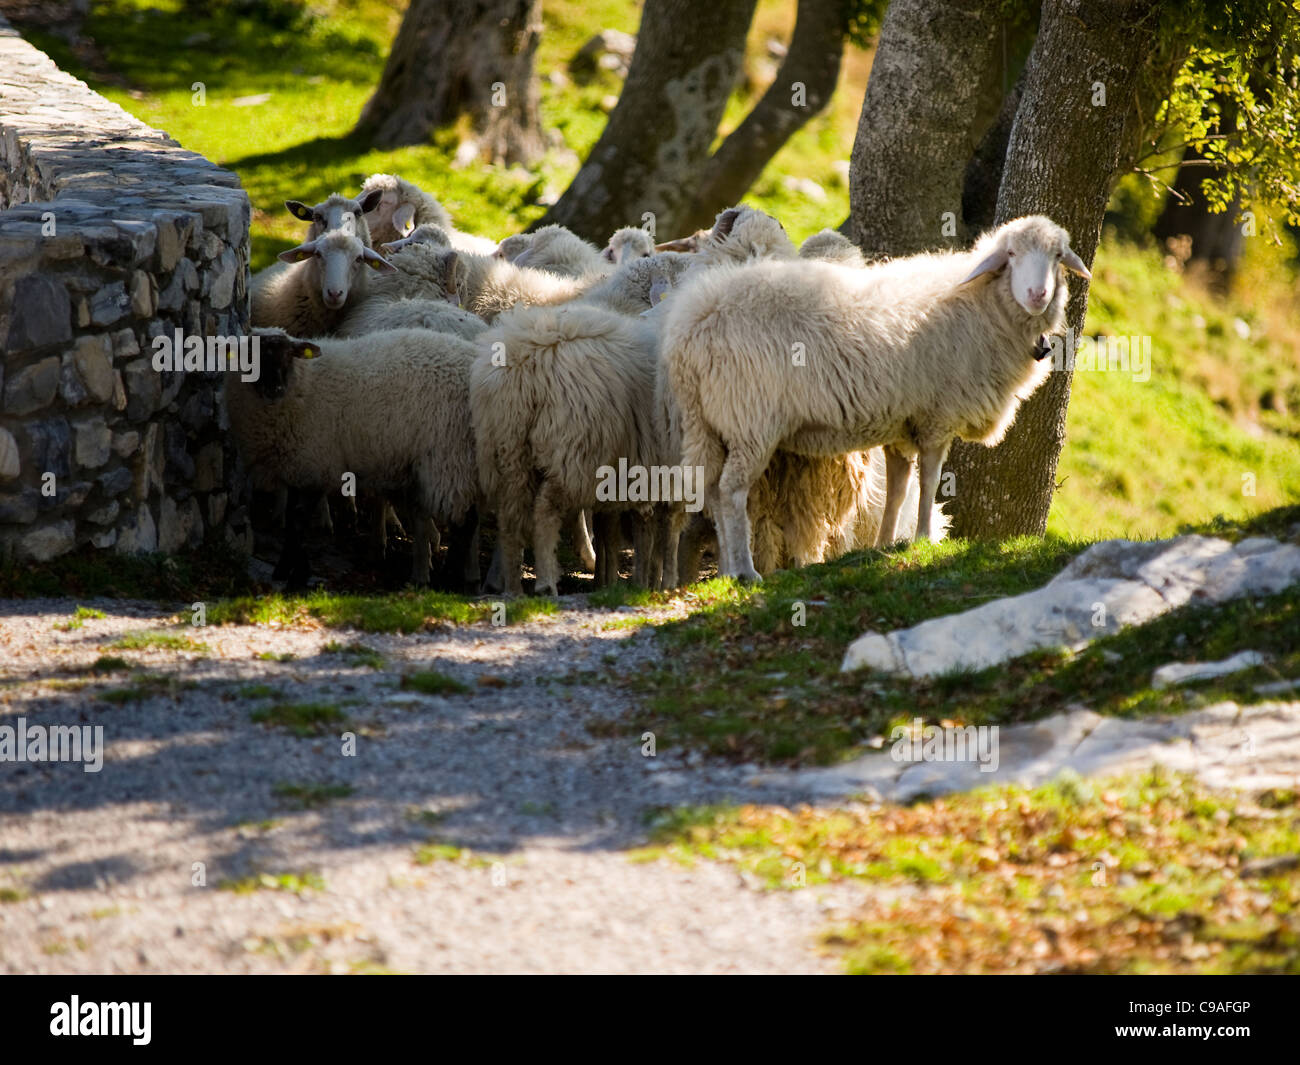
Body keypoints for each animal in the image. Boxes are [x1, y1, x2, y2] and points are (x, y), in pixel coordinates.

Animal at [228, 326, 483, 587]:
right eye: (250, 356)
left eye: (289, 354)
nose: (274, 389)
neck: (304, 383)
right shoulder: (296, 465)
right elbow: (290, 518)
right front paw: (284, 568)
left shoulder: (317, 463)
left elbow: (298, 519)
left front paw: (297, 575)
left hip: (448, 455)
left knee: (465, 522)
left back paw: (450, 577)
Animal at [660, 215, 1086, 579]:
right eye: (1011, 255)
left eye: (1058, 256)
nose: (1037, 294)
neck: (982, 304)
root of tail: (692, 325)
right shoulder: (938, 416)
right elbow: (929, 480)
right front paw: (922, 538)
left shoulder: (901, 426)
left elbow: (897, 489)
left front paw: (884, 544)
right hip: (750, 419)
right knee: (731, 492)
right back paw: (746, 572)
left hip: (705, 422)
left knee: (712, 491)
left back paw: (728, 571)